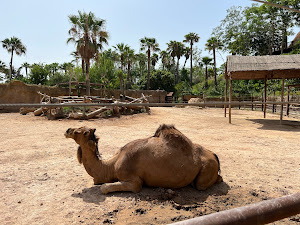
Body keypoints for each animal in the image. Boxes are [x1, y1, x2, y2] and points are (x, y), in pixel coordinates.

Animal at [63, 124, 223, 194]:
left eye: (80, 131)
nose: (67, 130)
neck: (112, 165)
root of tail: (214, 155)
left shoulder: (133, 180)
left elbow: (104, 188)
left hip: (207, 168)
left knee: (202, 184)